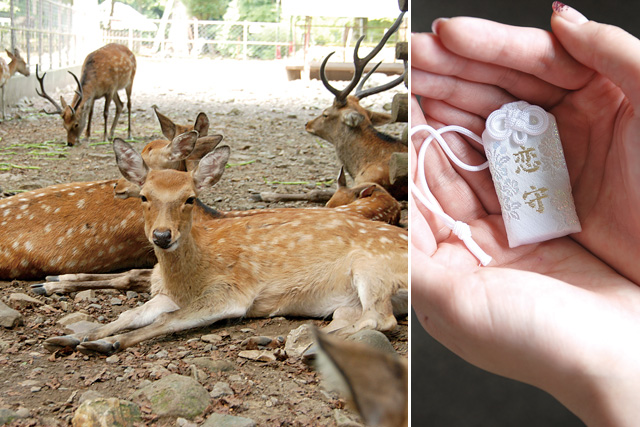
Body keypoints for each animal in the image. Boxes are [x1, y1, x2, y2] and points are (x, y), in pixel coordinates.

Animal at [42, 139, 408, 356]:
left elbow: (168, 321)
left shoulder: (231, 293)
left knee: (380, 320)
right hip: (347, 300)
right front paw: (75, 336)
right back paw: (281, 340)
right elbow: (130, 313)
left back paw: (297, 347)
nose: (162, 235)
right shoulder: (166, 293)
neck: (187, 279)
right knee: (351, 319)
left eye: (190, 198)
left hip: (371, 269)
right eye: (145, 196)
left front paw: (103, 342)